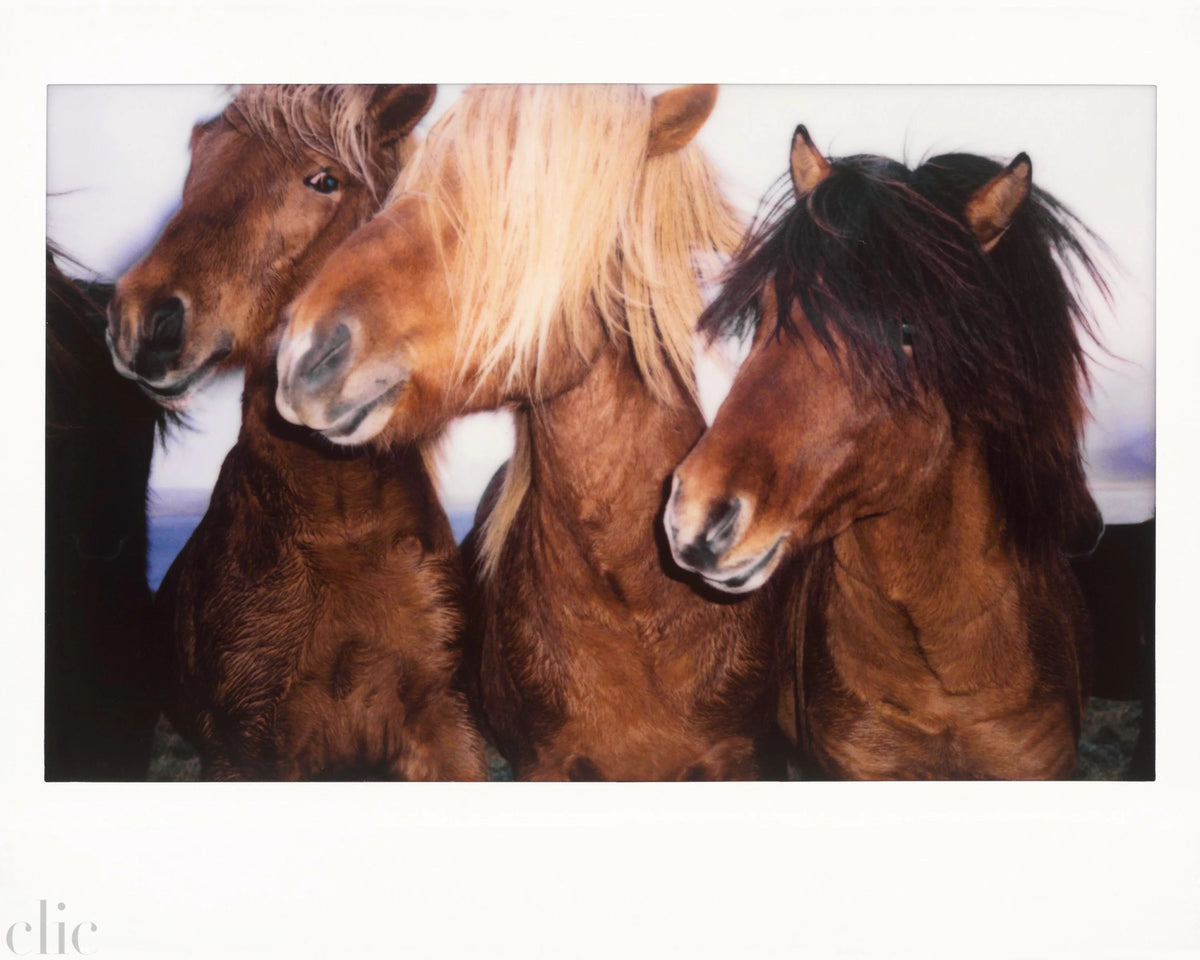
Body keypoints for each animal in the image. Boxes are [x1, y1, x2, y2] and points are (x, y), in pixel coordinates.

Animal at [107, 85, 486, 780]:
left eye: (324, 180)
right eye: (199, 157)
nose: (142, 320)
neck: (341, 528)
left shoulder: (445, 721)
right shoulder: (248, 748)